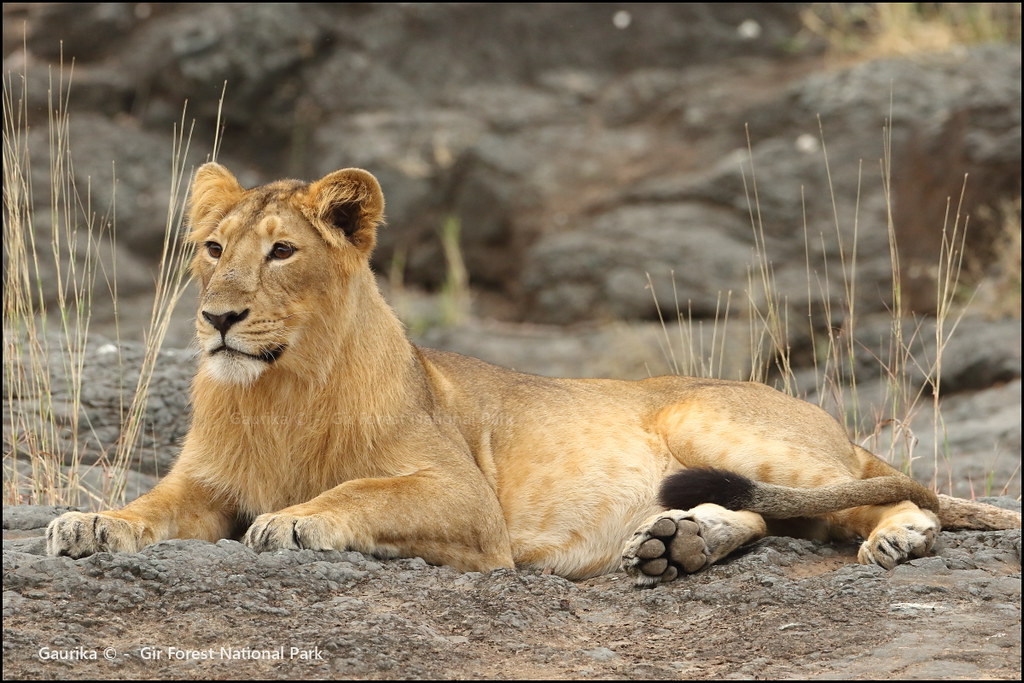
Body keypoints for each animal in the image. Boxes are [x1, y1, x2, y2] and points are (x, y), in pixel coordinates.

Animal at [49, 163, 1024, 589]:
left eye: (281, 251)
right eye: (213, 249)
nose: (217, 316)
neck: (278, 391)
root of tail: (831, 418)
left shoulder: (465, 500)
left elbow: (355, 492)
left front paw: (293, 520)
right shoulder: (203, 484)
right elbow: (149, 506)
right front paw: (88, 522)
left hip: (719, 422)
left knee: (884, 488)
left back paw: (897, 537)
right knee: (755, 513)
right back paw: (675, 544)